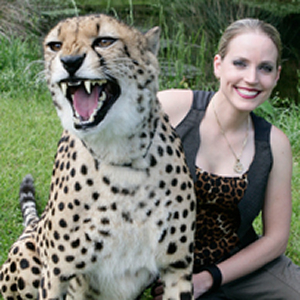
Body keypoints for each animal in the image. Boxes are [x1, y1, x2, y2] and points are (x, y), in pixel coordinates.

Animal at [0, 14, 196, 300]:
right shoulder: (56, 273)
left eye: (104, 41)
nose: (70, 62)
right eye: (55, 45)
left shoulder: (176, 268)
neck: (119, 154)